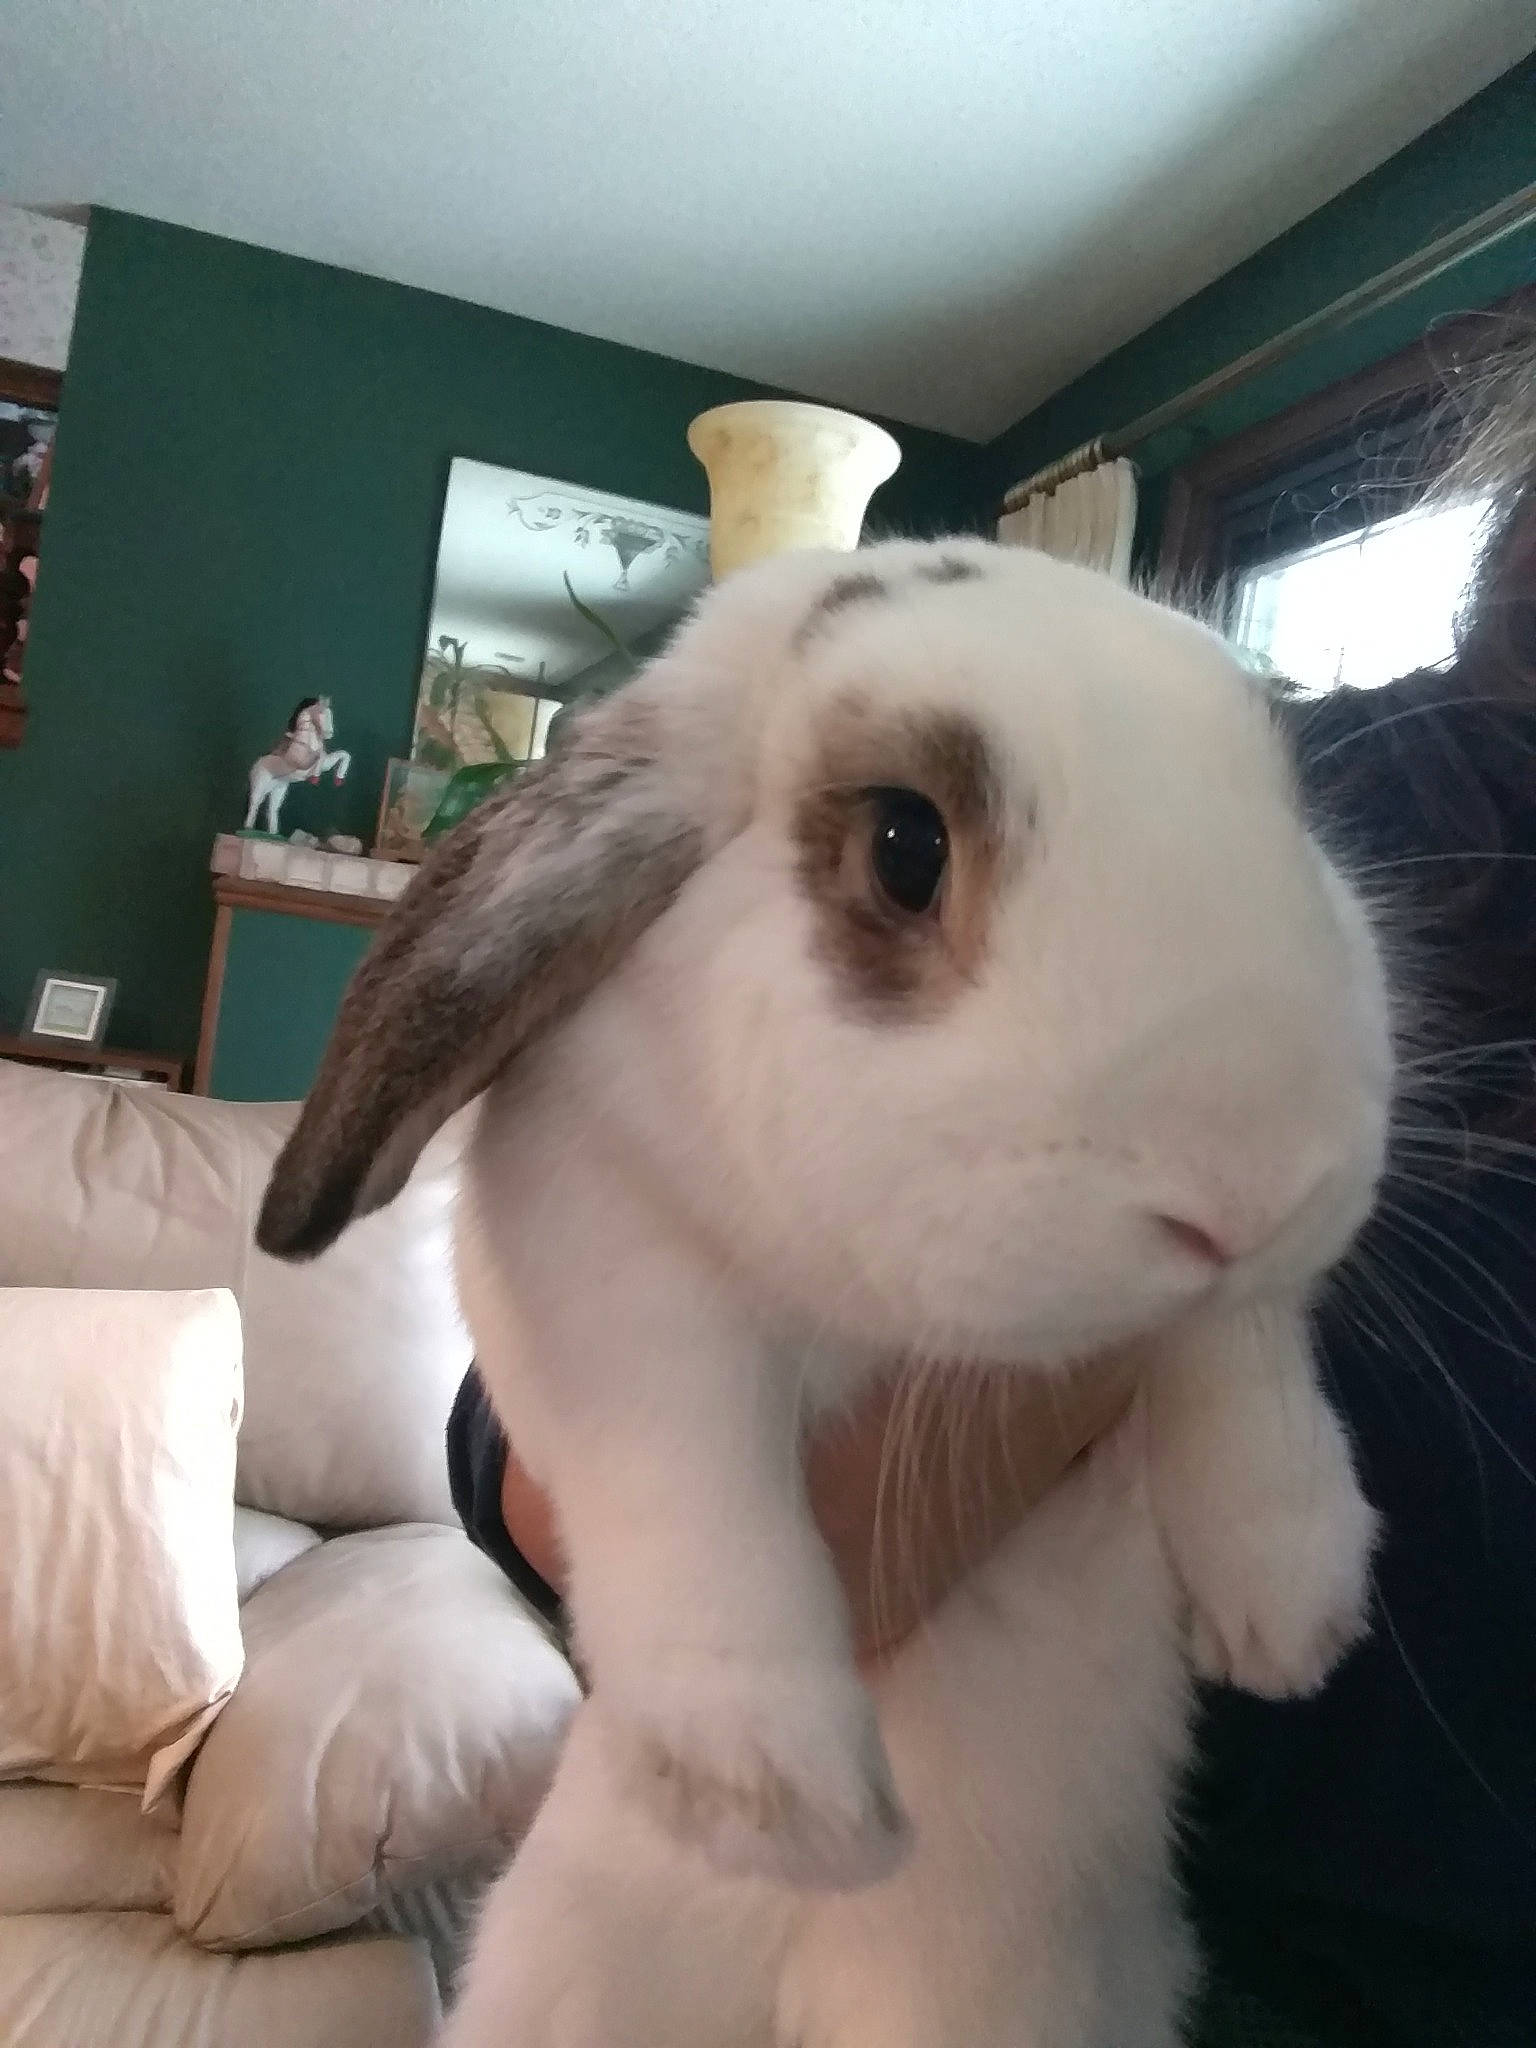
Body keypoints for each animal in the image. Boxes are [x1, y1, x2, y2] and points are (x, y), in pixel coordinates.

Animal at [258, 537, 1393, 2048]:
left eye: (1293, 808)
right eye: (907, 847)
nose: (1259, 1182)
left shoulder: (1218, 1307)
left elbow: (1238, 1349)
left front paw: (1291, 1600)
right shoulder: (591, 1240)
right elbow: (686, 1461)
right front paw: (783, 1796)